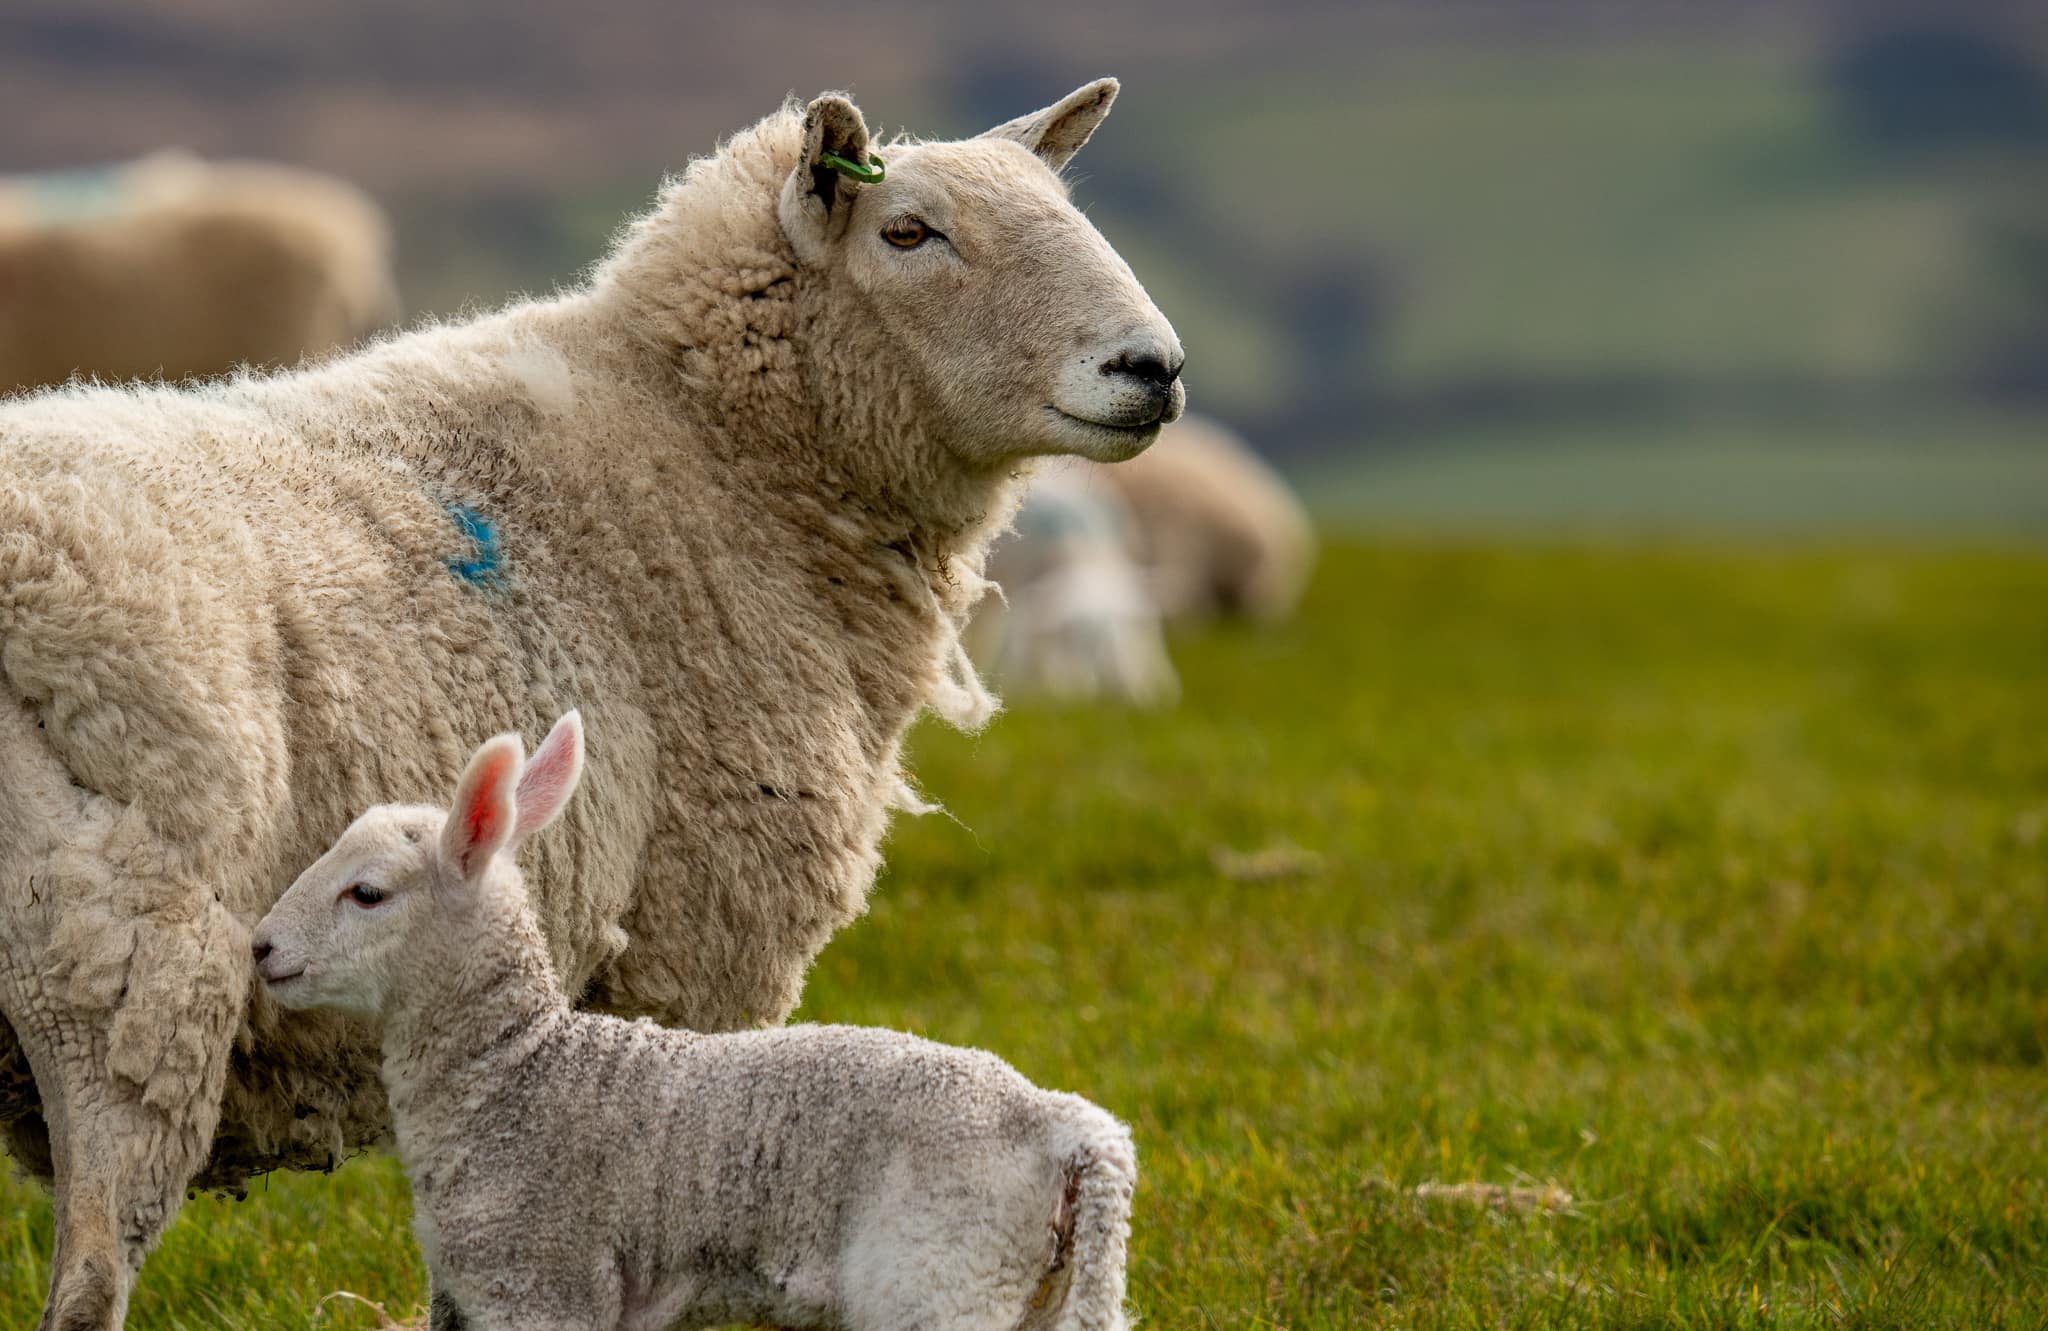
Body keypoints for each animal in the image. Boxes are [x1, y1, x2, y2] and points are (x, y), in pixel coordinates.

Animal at [253, 712, 1138, 1331]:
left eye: (367, 892)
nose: (261, 946)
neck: (515, 1073)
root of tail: (1060, 1122)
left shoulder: (541, 1277)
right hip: (1031, 1284)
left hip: (941, 1269)